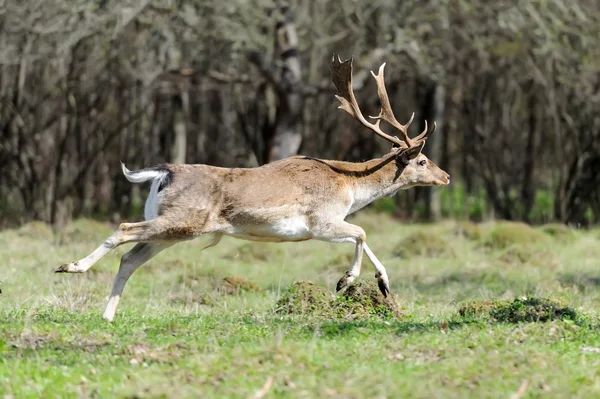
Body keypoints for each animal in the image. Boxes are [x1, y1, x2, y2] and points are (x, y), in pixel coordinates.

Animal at [57, 55, 450, 322]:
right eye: (422, 160)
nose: (446, 177)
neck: (349, 187)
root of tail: (162, 172)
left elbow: (362, 235)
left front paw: (382, 284)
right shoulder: (320, 221)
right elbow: (362, 231)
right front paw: (346, 281)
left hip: (172, 228)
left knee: (130, 257)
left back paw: (107, 314)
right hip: (184, 220)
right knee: (124, 229)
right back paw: (70, 267)